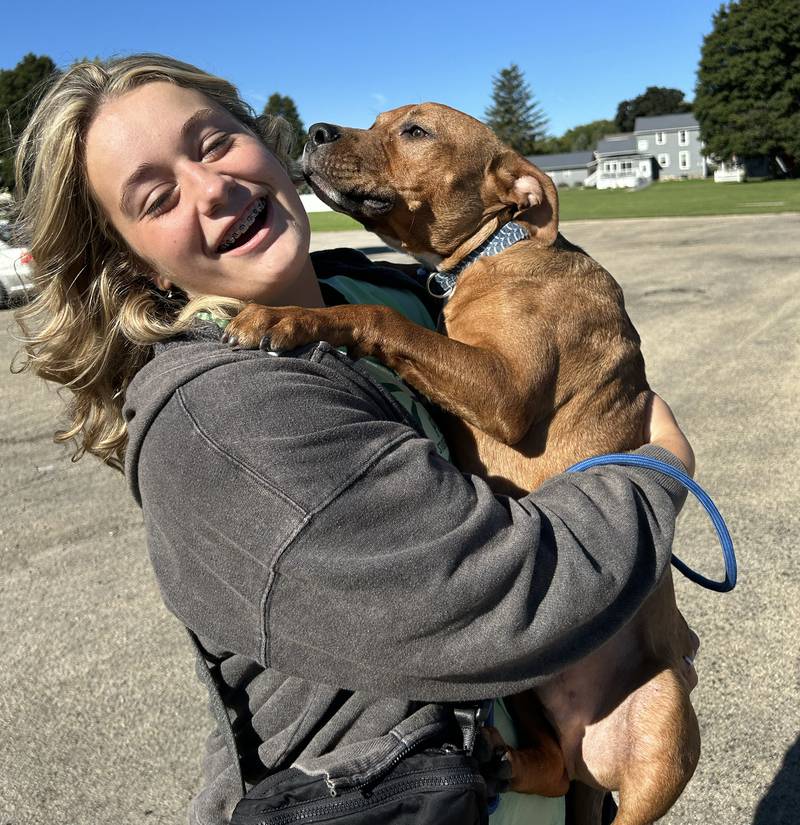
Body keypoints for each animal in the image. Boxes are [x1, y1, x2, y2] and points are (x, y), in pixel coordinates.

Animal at [225, 103, 700, 824]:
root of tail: (591, 746)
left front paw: (288, 316)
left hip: (670, 726)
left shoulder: (505, 391)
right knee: (554, 769)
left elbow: (379, 316)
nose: (314, 130)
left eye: (416, 131)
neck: (498, 251)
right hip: (524, 679)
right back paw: (503, 758)